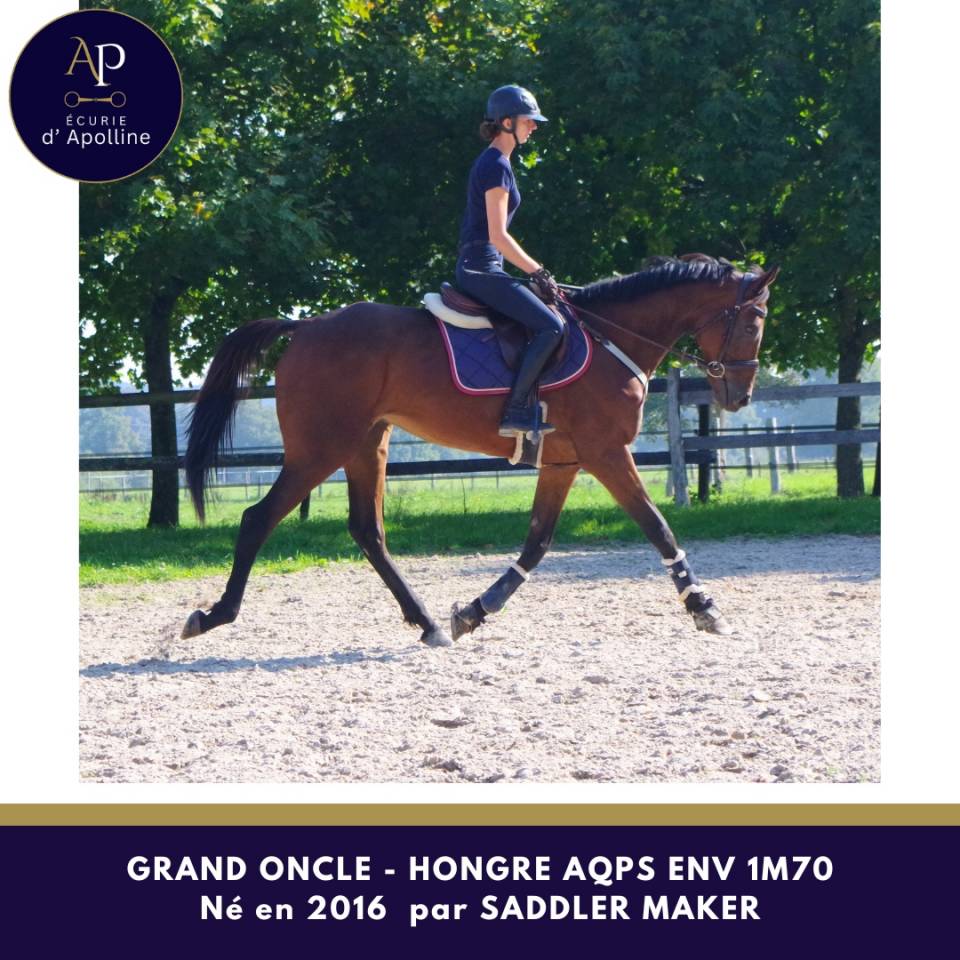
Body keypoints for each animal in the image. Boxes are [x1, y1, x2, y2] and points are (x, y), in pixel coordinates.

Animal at [181, 254, 778, 647]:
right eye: (754, 321)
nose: (741, 396)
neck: (614, 338)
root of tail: (305, 325)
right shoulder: (606, 453)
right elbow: (659, 528)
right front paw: (704, 607)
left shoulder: (564, 460)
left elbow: (537, 543)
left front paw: (473, 611)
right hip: (320, 448)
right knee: (259, 518)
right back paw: (214, 615)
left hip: (366, 445)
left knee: (368, 530)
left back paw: (427, 624)